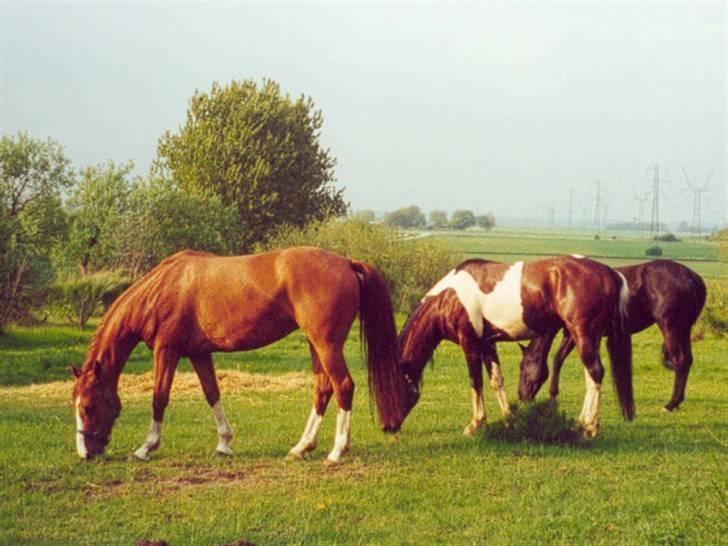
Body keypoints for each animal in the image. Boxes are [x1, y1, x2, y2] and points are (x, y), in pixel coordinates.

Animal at [71, 246, 412, 464]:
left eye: (88, 406)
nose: (85, 454)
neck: (162, 289)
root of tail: (346, 263)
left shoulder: (167, 351)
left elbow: (159, 399)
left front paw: (145, 448)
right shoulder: (198, 353)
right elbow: (212, 394)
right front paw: (224, 443)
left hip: (326, 344)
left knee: (343, 387)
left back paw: (337, 451)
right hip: (316, 344)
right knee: (323, 389)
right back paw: (301, 447)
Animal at [398, 255, 636, 438]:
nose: (392, 426)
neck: (450, 297)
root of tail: (607, 271)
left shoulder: (470, 344)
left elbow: (476, 382)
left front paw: (475, 424)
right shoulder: (487, 345)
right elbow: (496, 381)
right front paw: (509, 421)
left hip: (582, 335)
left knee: (595, 373)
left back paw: (590, 428)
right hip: (588, 339)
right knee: (591, 377)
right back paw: (581, 424)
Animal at [516, 258, 704, 408]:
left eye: (522, 366)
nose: (521, 396)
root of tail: (691, 276)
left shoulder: (575, 335)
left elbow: (557, 360)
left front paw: (554, 394)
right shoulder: (573, 335)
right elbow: (558, 360)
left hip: (671, 327)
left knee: (680, 360)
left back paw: (671, 404)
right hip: (683, 329)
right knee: (687, 360)